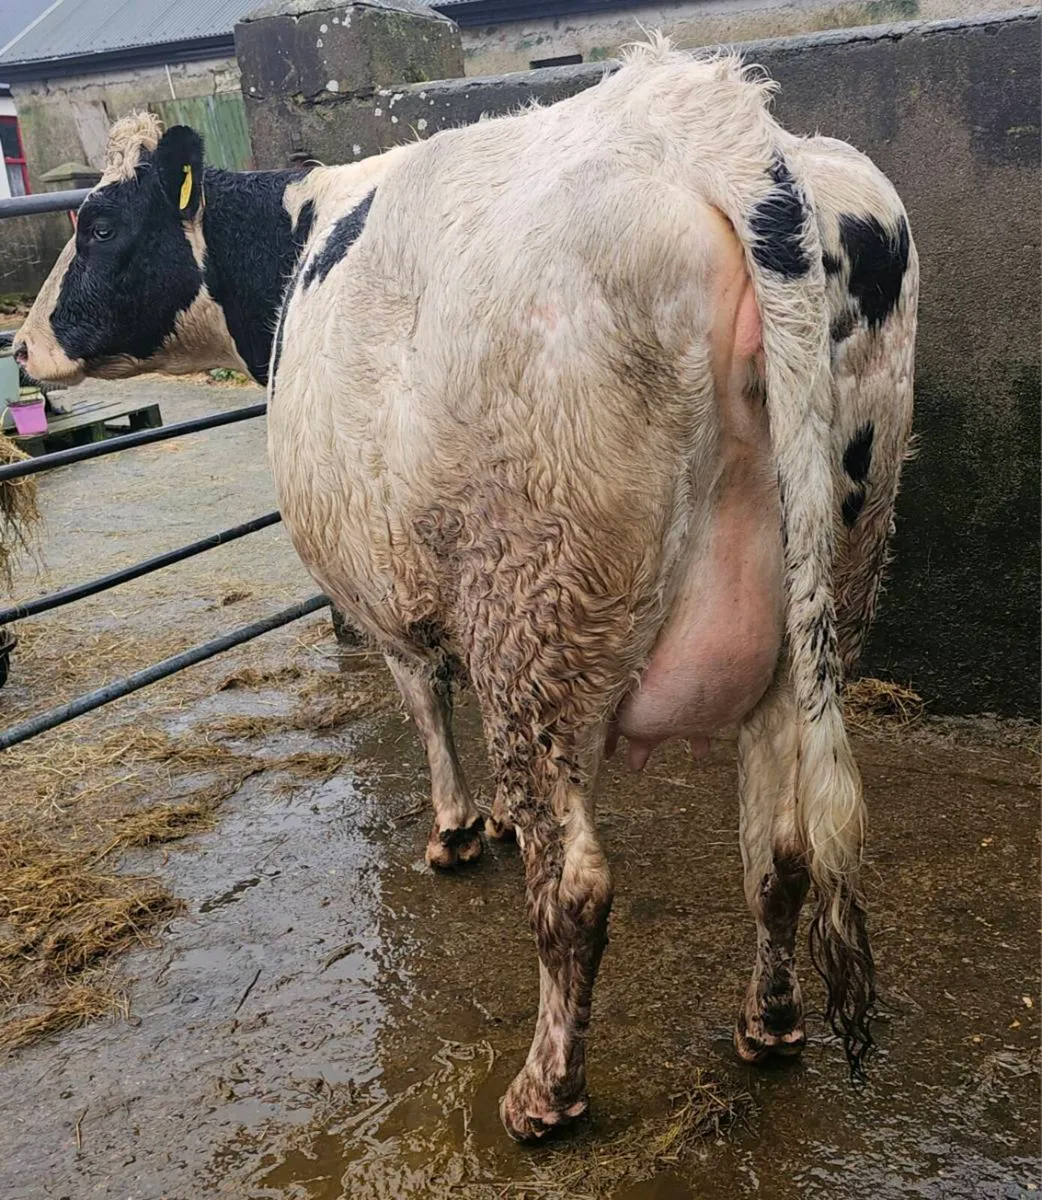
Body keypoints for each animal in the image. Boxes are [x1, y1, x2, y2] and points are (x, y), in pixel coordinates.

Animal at [16, 38, 917, 1142]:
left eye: (97, 223)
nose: (22, 344)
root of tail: (712, 120)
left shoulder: (383, 586)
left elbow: (424, 701)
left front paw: (454, 831)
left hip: (536, 616)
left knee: (573, 882)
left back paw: (544, 1093)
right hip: (820, 600)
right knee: (780, 846)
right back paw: (770, 1024)